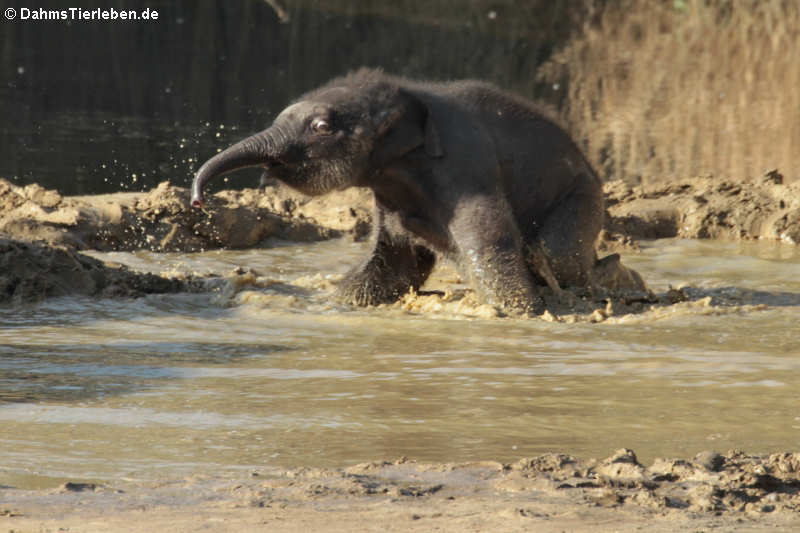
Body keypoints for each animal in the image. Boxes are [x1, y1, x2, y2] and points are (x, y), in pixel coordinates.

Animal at [192, 68, 608, 314]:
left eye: (321, 126)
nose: (197, 199)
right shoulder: (392, 193)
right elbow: (396, 260)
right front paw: (339, 301)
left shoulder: (467, 165)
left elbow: (488, 239)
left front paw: (520, 311)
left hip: (583, 195)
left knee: (556, 254)